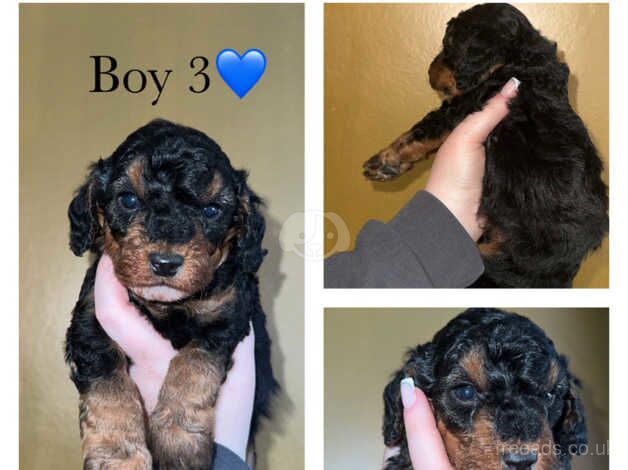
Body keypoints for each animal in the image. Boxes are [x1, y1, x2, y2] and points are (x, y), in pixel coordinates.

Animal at [64, 120, 278, 470]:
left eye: (212, 210)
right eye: (129, 200)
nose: (166, 263)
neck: (166, 305)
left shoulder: (226, 315)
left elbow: (192, 367)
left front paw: (179, 442)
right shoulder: (89, 321)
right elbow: (109, 386)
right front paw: (119, 455)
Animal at [364, 3, 608, 288]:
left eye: (448, 44)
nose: (429, 73)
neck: (519, 57)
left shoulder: (463, 107)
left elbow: (419, 133)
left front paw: (382, 163)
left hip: (504, 264)